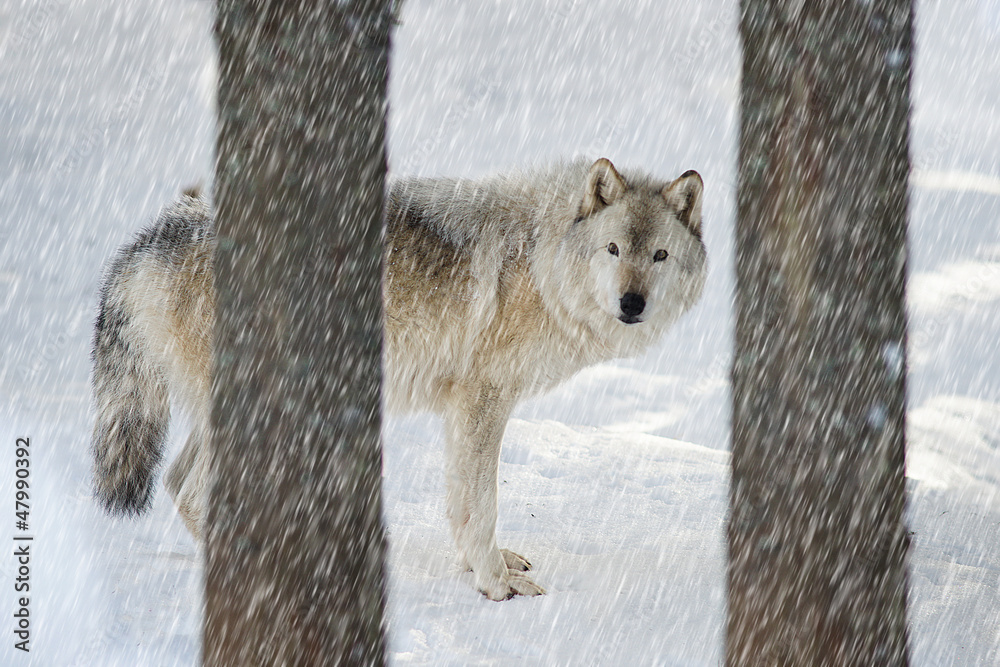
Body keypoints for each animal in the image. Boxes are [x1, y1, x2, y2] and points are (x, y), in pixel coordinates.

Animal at [91, 157, 707, 600]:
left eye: (659, 255)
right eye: (613, 249)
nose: (632, 304)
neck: (540, 261)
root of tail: (156, 233)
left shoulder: (465, 409)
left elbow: (463, 502)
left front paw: (480, 567)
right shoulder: (483, 401)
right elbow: (483, 505)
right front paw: (495, 585)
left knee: (176, 482)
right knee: (193, 489)